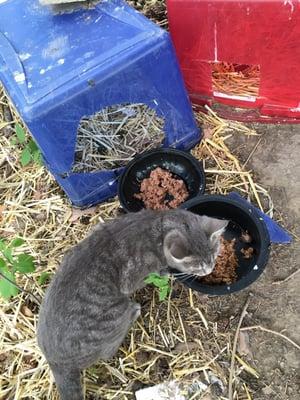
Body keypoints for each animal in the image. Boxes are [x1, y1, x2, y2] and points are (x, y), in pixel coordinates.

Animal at [38, 209, 227, 400]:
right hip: (115, 315)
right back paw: (134, 311)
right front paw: (165, 273)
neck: (155, 226)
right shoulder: (134, 277)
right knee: (108, 351)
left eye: (214, 256)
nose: (209, 270)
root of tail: (56, 362)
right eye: (198, 267)